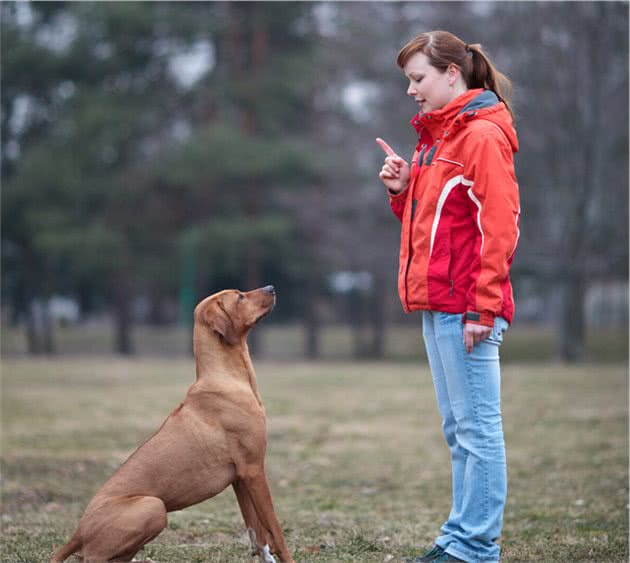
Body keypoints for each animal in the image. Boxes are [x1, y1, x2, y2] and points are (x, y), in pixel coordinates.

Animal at [51, 288, 294, 560]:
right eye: (240, 296)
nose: (272, 288)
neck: (226, 378)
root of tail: (77, 534)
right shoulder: (253, 470)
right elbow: (275, 530)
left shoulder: (240, 477)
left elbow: (257, 531)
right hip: (153, 506)